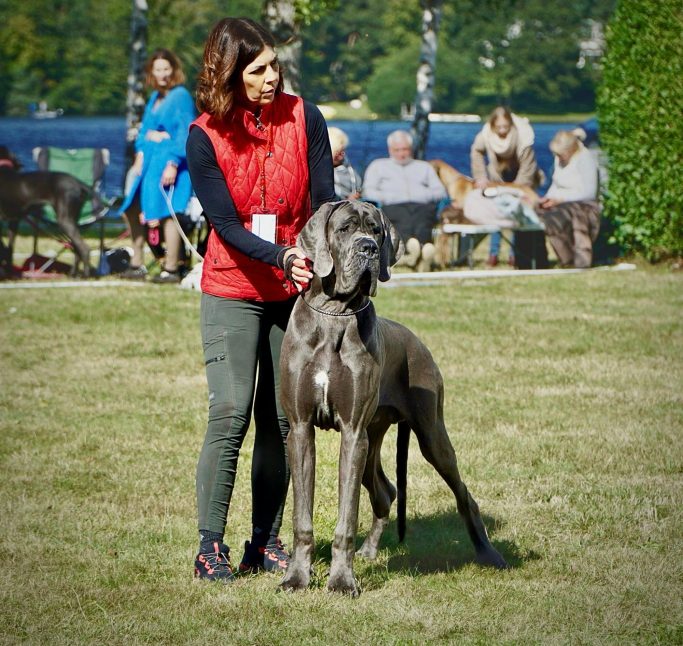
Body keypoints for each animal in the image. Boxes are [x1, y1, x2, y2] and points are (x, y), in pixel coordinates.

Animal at [0, 146, 103, 278]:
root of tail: (78, 183)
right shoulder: (14, 221)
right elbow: (9, 248)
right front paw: (9, 272)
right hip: (73, 219)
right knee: (76, 248)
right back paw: (73, 274)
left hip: (64, 219)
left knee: (84, 248)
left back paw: (85, 275)